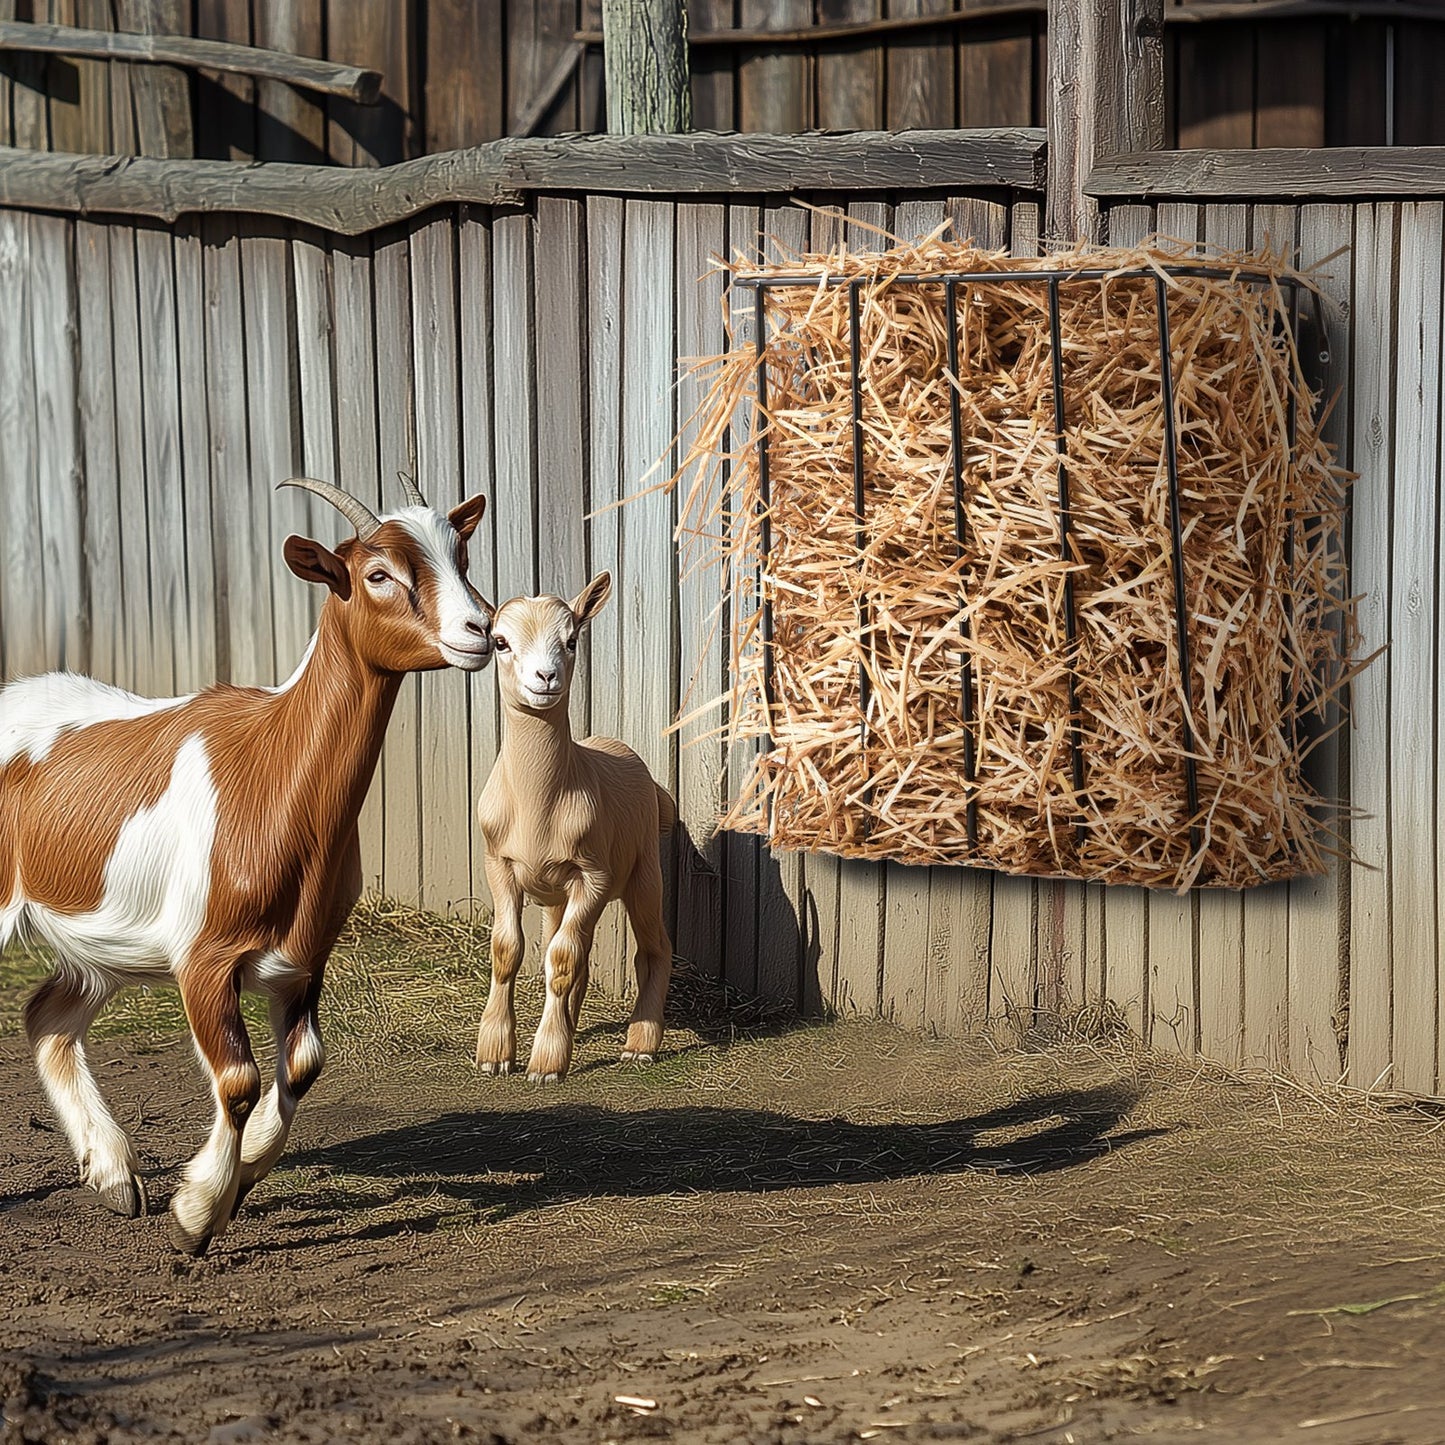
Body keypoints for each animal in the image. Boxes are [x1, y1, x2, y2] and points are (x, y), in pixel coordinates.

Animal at [1, 475, 491, 1254]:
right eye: (378, 574)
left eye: (461, 554)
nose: (482, 628)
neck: (269, 768)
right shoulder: (202, 957)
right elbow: (237, 1079)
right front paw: (195, 1216)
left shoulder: (304, 957)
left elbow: (303, 1064)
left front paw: (240, 1175)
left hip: (101, 951)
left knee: (47, 1015)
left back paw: (114, 1179)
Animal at [474, 572, 675, 1082]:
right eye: (499, 641)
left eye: (570, 640)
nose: (545, 677)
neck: (538, 804)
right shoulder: (499, 865)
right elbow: (508, 950)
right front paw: (495, 1054)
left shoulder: (593, 875)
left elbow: (561, 960)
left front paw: (546, 1061)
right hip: (557, 896)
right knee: (572, 951)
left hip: (643, 874)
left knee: (652, 949)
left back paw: (640, 1045)